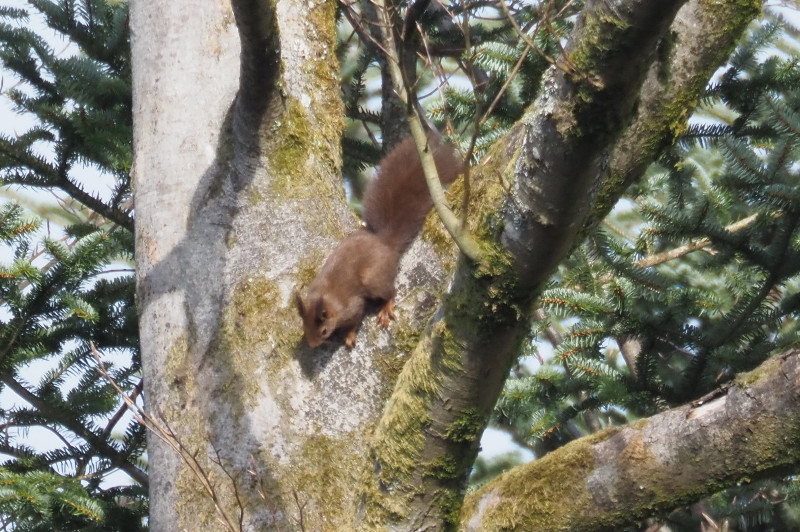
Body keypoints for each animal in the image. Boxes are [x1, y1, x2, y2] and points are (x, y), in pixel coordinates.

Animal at [295, 133, 463, 349]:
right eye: (304, 328)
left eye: (323, 331)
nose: (313, 345)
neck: (326, 297)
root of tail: (385, 243)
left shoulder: (353, 306)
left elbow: (355, 318)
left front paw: (349, 334)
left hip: (374, 279)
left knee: (391, 291)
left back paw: (386, 307)